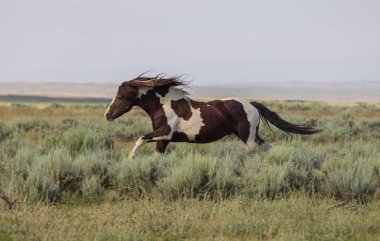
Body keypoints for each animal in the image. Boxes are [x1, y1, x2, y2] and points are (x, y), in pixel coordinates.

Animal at [104, 74, 320, 160]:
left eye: (121, 96)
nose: (107, 114)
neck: (164, 105)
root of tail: (252, 105)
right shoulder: (163, 140)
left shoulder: (164, 133)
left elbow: (140, 138)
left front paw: (131, 158)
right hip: (253, 136)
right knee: (267, 148)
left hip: (248, 138)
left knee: (257, 153)